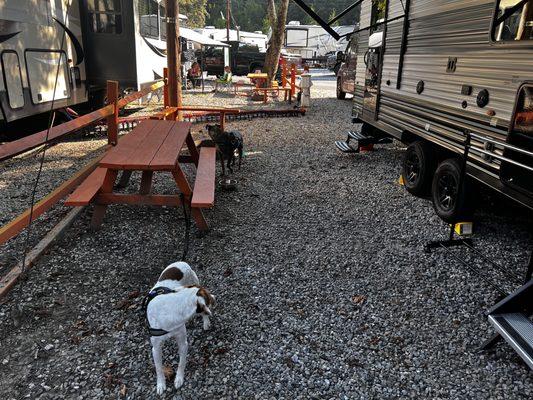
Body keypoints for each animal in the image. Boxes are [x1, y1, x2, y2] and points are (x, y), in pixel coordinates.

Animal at [144, 260, 215, 396]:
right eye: (208, 296)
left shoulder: (183, 342)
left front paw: (179, 379)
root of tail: (182, 262)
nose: (215, 297)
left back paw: (206, 322)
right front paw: (160, 384)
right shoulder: (156, 348)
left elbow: (181, 363)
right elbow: (159, 368)